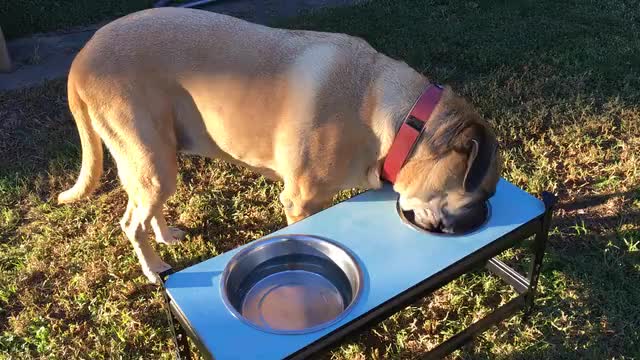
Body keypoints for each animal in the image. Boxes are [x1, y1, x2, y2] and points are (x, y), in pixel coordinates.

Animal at [58, 8, 500, 282]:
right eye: (480, 192)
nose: (476, 222)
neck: (398, 118)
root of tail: (80, 58)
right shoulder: (301, 201)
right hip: (150, 161)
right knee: (131, 221)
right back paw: (154, 268)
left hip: (158, 158)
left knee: (147, 209)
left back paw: (165, 235)